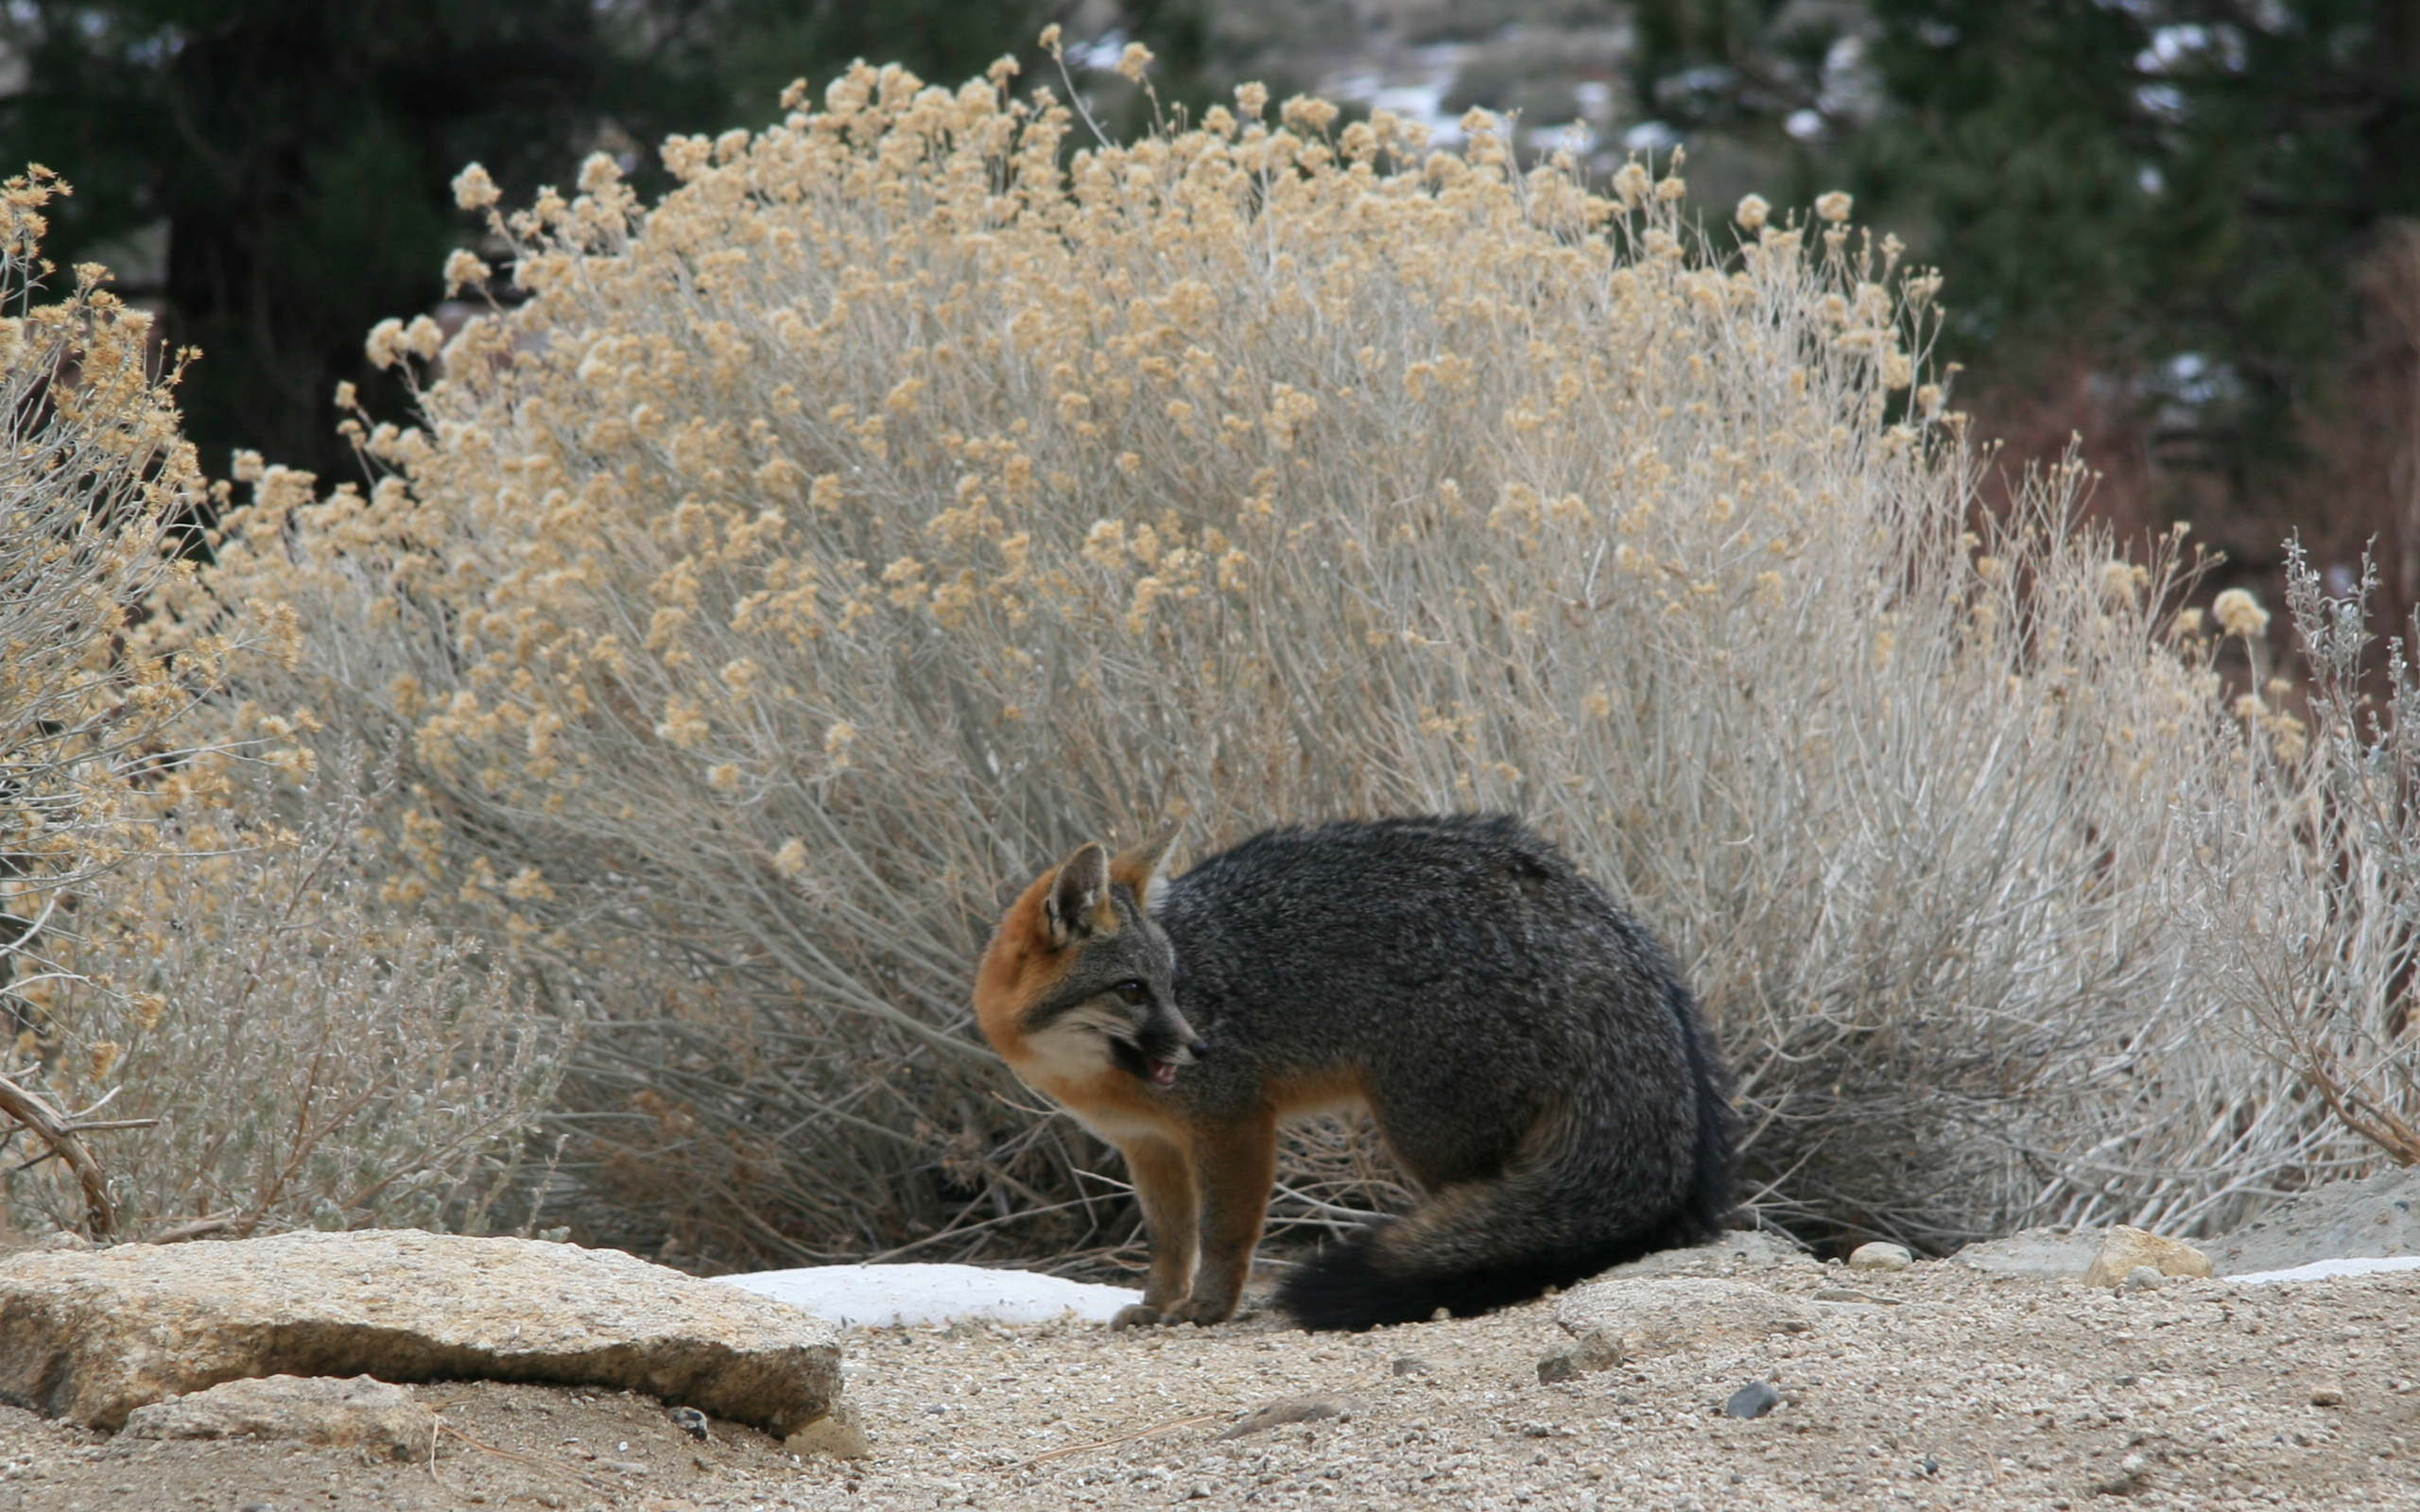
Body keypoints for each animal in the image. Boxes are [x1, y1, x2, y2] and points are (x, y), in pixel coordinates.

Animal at [973, 808, 1732, 1325]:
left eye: (1175, 984)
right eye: (1133, 990)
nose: (1199, 1048)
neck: (1088, 1078)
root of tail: (1587, 904)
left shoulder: (1233, 1123)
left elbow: (1222, 1234)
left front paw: (1208, 1309)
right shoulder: (1148, 1146)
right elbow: (1169, 1241)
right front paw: (1157, 1306)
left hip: (1428, 1133)